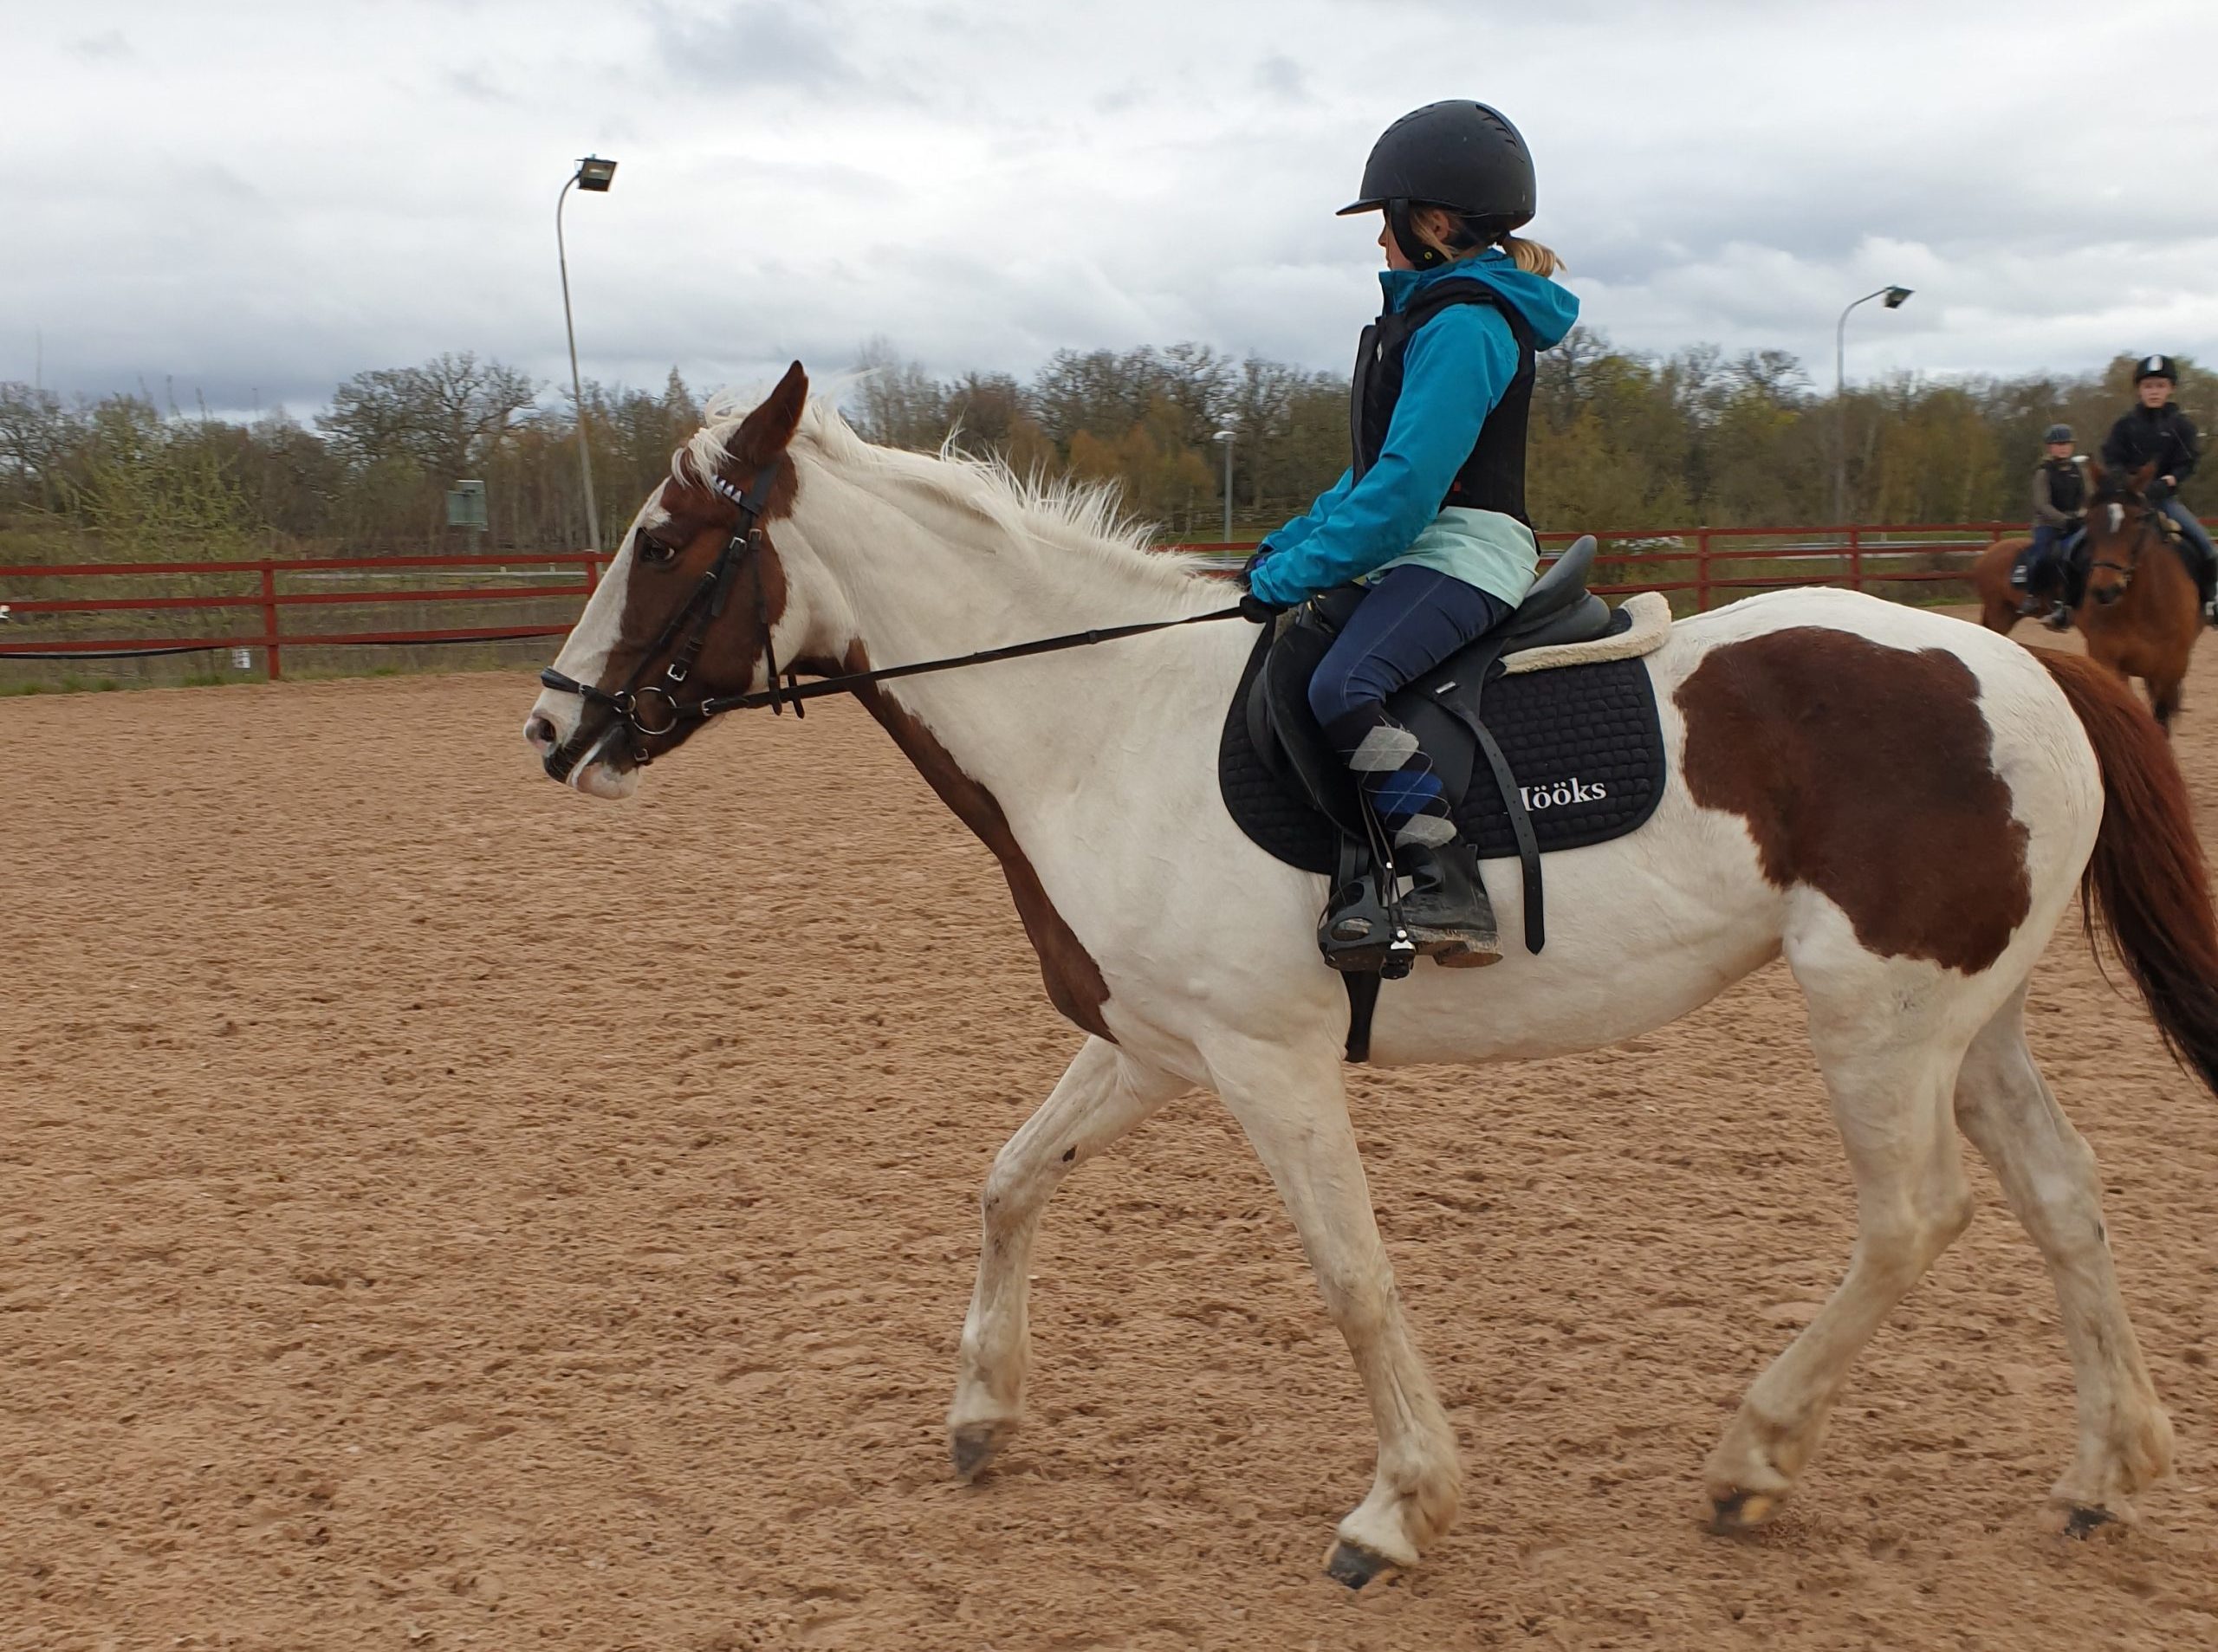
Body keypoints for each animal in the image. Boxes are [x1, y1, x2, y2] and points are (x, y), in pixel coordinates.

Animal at [523, 363, 2218, 1587]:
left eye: (662, 544)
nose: (550, 725)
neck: (1102, 720)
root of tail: (2020, 666)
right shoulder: (1153, 1041)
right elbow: (1009, 1180)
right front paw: (983, 1412)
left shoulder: (1266, 1061)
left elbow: (1350, 1273)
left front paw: (1399, 1508)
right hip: (1970, 1018)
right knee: (2063, 1196)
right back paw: (2103, 1472)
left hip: (1878, 1012)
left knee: (1914, 1217)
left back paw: (1755, 1454)